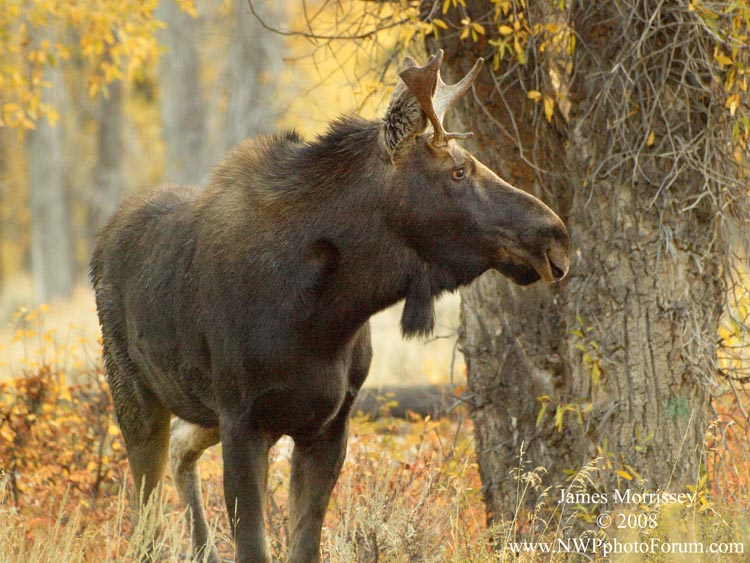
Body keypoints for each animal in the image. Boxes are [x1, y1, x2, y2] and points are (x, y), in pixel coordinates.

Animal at [90, 51, 569, 563]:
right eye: (458, 170)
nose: (556, 235)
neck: (323, 319)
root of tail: (102, 239)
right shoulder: (243, 419)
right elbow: (254, 546)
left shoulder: (328, 425)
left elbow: (304, 544)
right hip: (135, 391)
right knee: (145, 514)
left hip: (200, 408)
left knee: (181, 449)